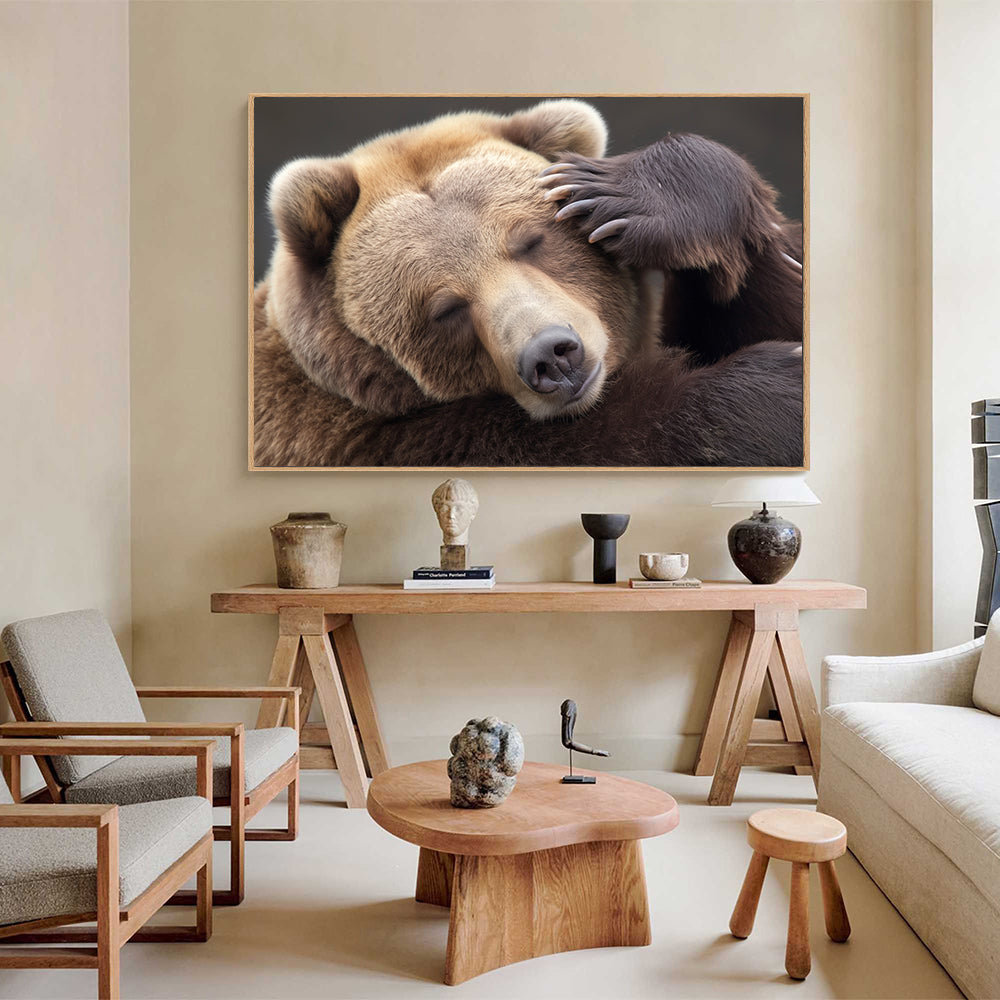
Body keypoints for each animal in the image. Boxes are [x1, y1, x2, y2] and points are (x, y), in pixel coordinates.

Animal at [253, 99, 804, 468]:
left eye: (531, 241)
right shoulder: (378, 443)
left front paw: (619, 194)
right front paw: (777, 388)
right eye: (445, 308)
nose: (552, 355)